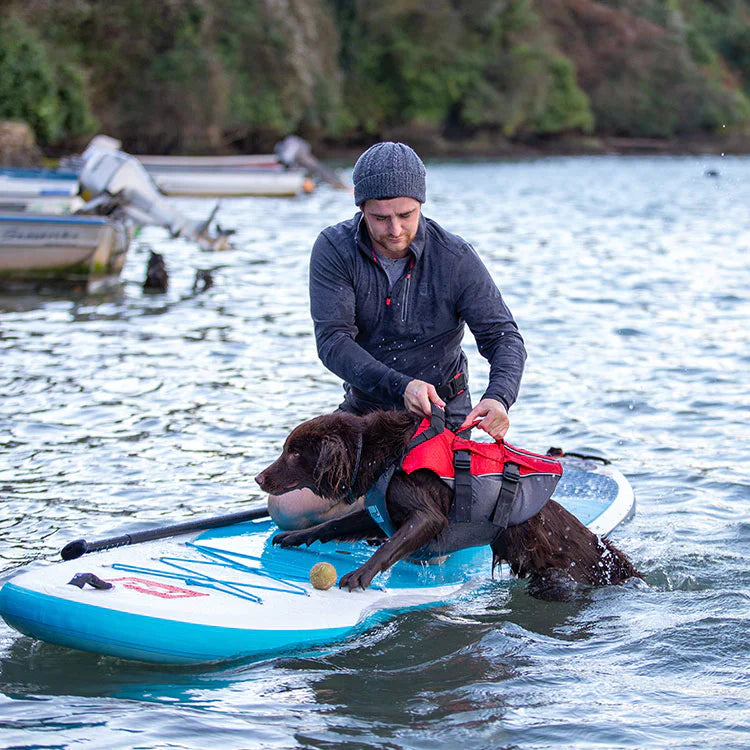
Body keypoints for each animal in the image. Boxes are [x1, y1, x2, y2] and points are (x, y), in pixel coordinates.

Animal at [256, 408, 644, 604]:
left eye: (294, 453)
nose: (258, 478)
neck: (381, 452)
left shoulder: (427, 516)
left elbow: (388, 548)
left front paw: (360, 575)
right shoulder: (380, 509)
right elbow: (334, 524)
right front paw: (295, 537)